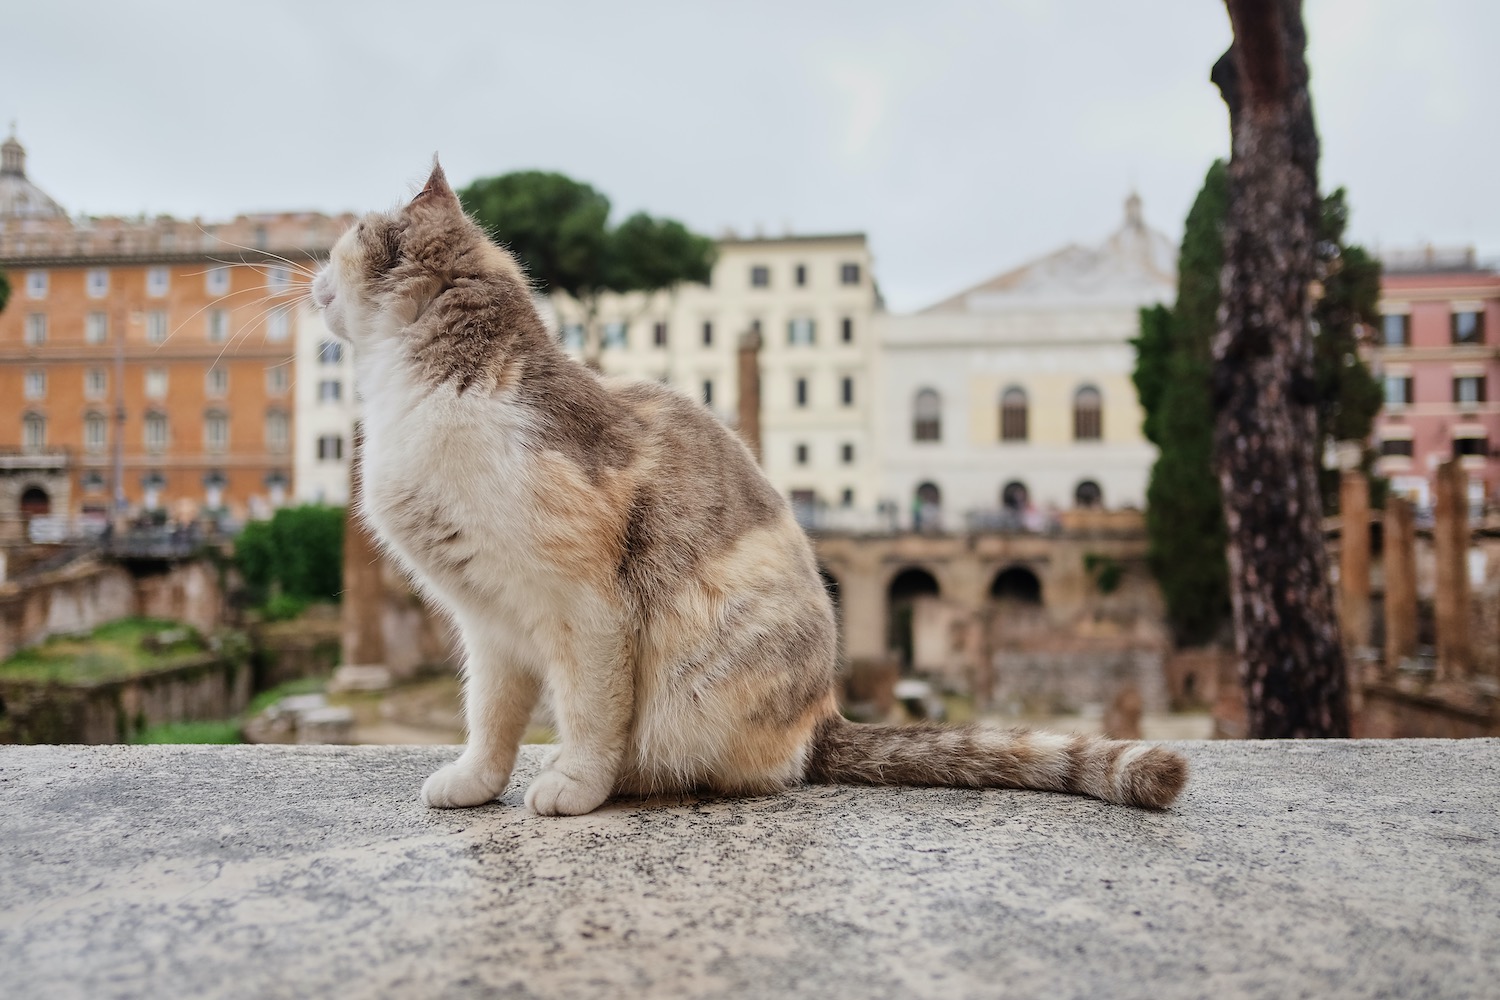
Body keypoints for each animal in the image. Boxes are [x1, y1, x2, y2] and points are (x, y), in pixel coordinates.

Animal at [310, 164, 1188, 815]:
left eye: (345, 239)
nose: (312, 278)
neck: (428, 393)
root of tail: (824, 714)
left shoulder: (585, 607)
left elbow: (591, 711)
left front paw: (575, 786)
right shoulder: (488, 623)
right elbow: (488, 717)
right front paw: (475, 781)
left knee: (732, 767)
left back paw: (629, 778)